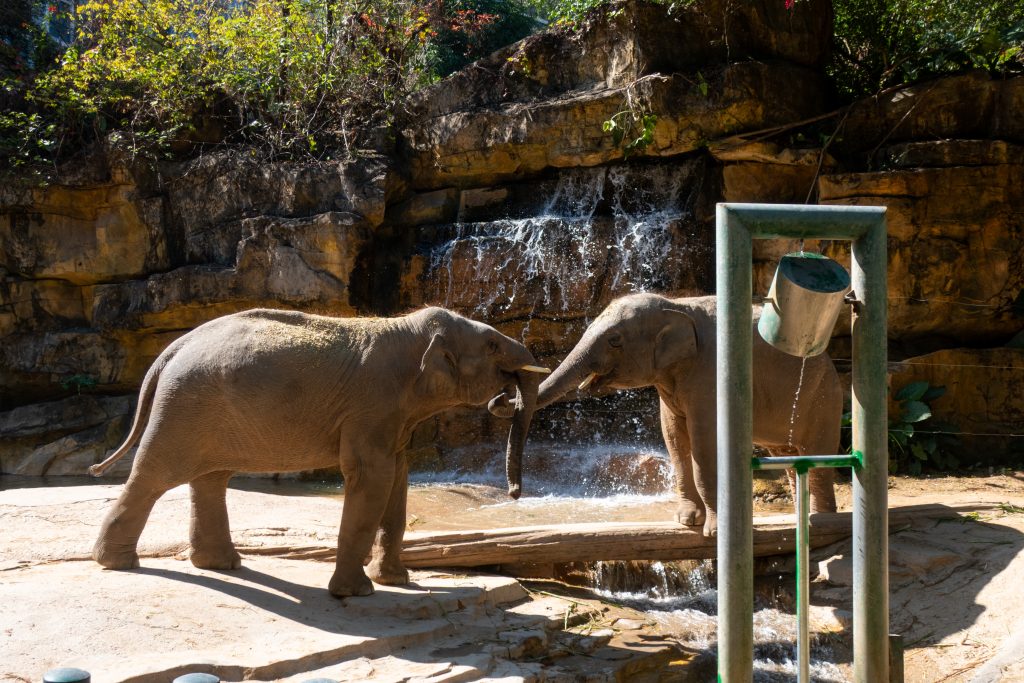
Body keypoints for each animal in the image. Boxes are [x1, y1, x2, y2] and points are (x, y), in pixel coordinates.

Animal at [88, 306, 548, 597]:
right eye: (492, 345)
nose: (514, 493)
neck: (405, 328)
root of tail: (174, 347)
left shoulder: (393, 417)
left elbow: (397, 480)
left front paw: (396, 582)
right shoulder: (373, 405)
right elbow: (371, 476)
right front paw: (356, 594)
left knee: (210, 478)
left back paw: (220, 565)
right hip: (184, 406)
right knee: (154, 475)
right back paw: (116, 564)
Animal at [535, 293, 842, 537]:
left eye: (614, 340)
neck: (677, 306)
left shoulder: (711, 373)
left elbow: (704, 444)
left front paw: (714, 533)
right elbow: (673, 438)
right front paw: (686, 521)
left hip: (824, 398)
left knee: (817, 456)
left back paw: (821, 523)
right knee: (789, 457)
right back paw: (799, 519)